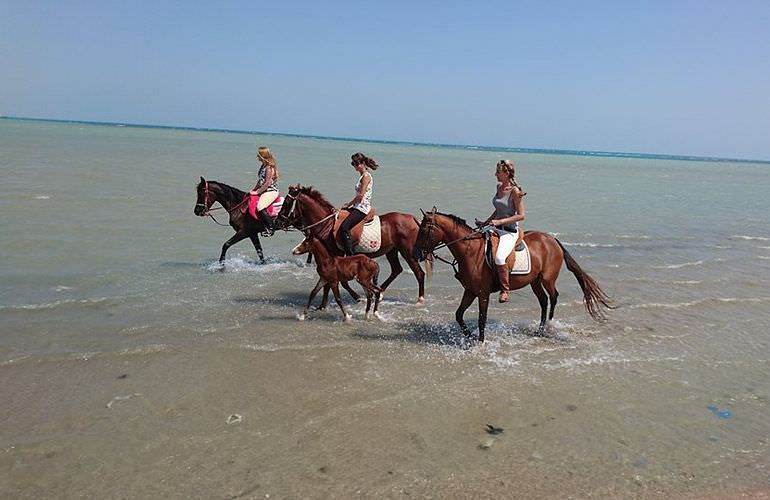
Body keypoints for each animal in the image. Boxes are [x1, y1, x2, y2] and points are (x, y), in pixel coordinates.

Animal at [272, 184, 426, 300]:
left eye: (286, 203)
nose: (276, 222)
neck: (327, 224)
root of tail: (412, 218)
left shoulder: (337, 256)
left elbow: (342, 282)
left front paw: (357, 297)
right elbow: (329, 283)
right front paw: (323, 305)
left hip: (407, 251)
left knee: (419, 273)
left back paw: (420, 299)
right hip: (392, 250)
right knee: (396, 270)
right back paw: (380, 292)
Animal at [414, 208, 612, 344]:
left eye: (424, 230)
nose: (416, 253)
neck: (471, 251)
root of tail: (552, 240)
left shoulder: (482, 293)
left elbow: (481, 318)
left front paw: (480, 342)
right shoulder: (470, 290)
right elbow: (459, 315)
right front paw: (469, 336)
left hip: (547, 279)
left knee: (553, 297)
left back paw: (549, 326)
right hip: (534, 281)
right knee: (543, 301)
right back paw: (540, 330)